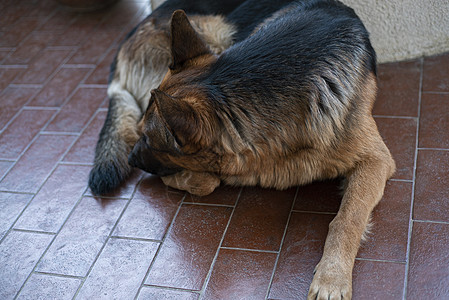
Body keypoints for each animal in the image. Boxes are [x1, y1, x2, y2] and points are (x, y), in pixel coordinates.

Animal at [124, 1, 394, 298]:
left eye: (150, 141)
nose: (130, 159)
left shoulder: (377, 160)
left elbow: (348, 218)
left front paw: (332, 276)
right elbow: (209, 182)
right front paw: (191, 177)